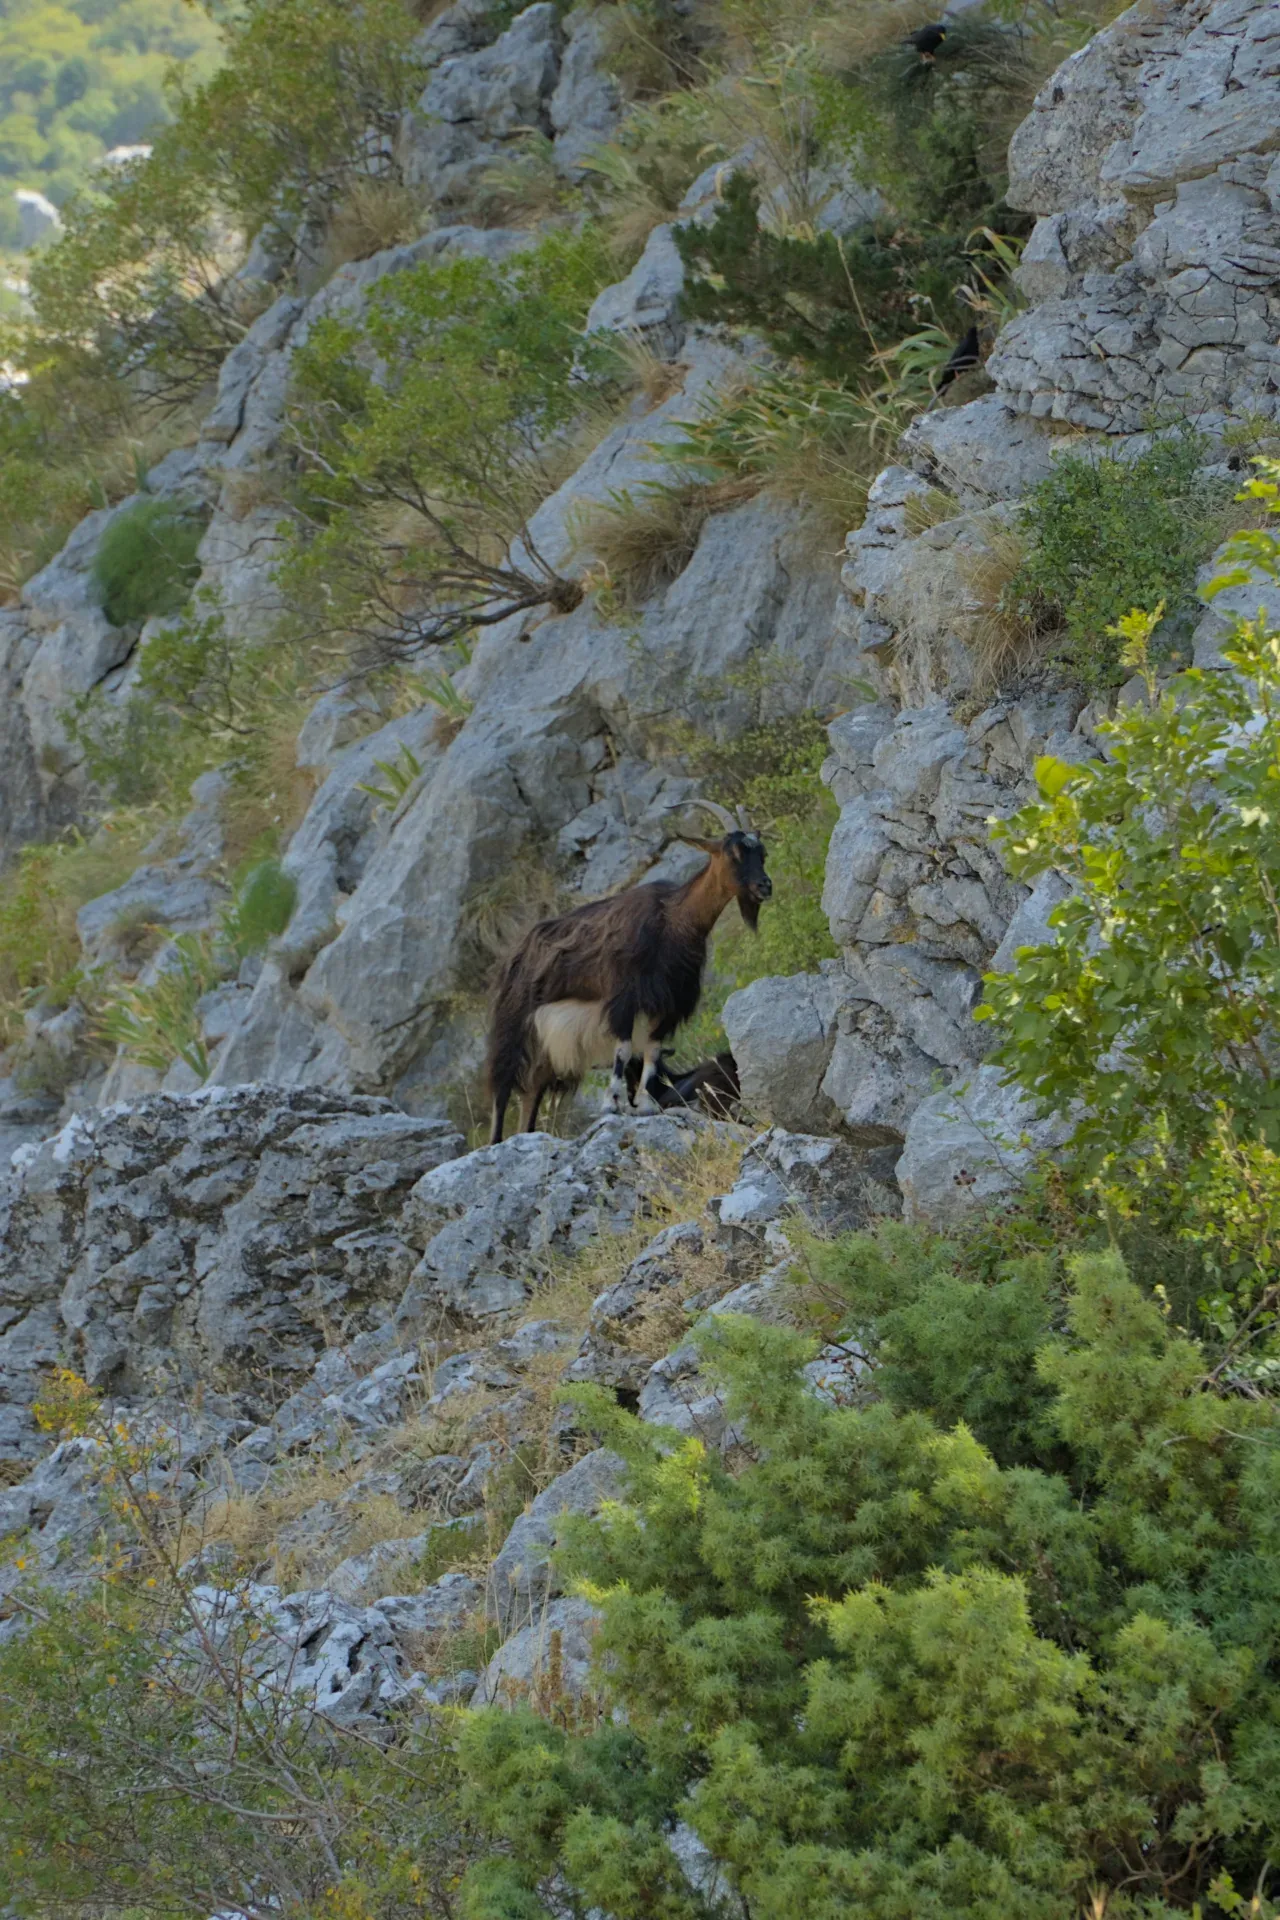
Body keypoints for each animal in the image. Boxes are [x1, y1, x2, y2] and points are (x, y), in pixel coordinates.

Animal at [485, 805, 770, 1143]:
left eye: (763, 853)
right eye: (734, 852)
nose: (765, 886)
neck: (675, 920)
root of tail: (515, 952)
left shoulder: (669, 1003)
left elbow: (651, 1051)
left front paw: (644, 1105)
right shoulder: (624, 996)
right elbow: (622, 1049)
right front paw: (612, 1103)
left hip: (545, 1037)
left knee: (533, 1086)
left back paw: (525, 1134)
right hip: (514, 1018)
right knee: (502, 1081)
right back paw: (495, 1140)